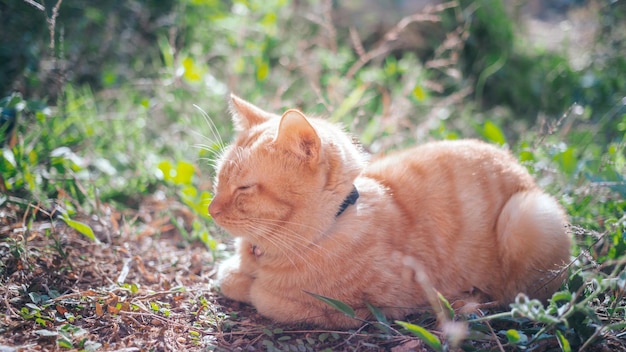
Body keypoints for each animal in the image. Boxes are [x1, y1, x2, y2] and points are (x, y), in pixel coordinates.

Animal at [210, 93, 572, 328]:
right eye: (219, 180)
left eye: (244, 188)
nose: (211, 210)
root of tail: (518, 166)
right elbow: (227, 275)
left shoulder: (375, 306)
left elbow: (266, 296)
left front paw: (256, 288)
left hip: (527, 218)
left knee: (520, 296)